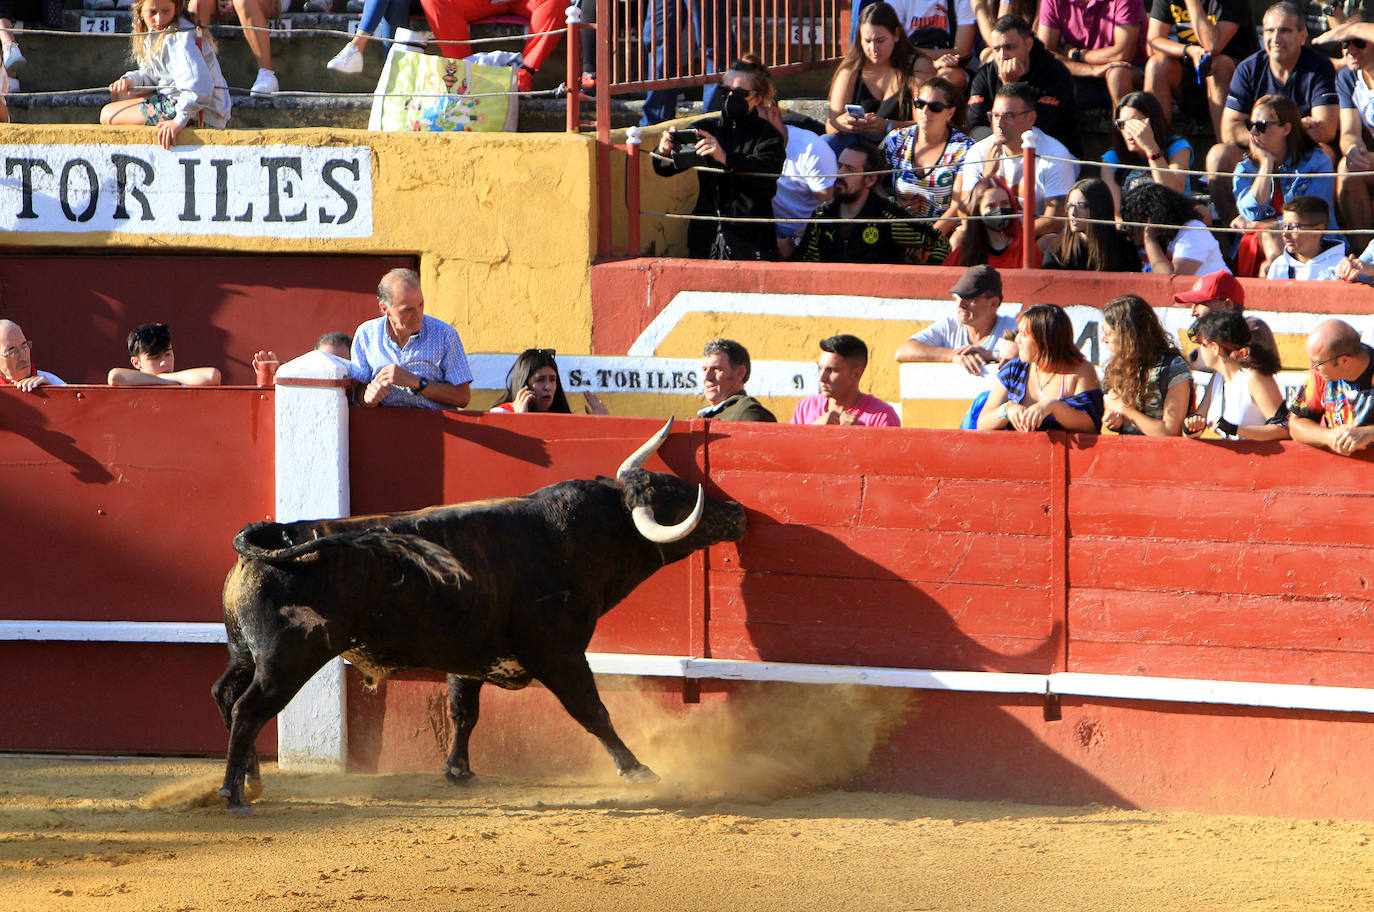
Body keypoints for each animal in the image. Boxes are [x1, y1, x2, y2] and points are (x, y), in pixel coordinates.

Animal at [212, 420, 747, 813]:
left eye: (678, 484)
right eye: (676, 497)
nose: (738, 513)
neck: (579, 538)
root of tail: (272, 535)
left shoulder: (469, 655)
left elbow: (462, 711)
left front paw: (459, 772)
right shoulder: (560, 653)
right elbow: (591, 710)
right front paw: (638, 769)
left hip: (244, 650)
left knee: (226, 694)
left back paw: (251, 780)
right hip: (289, 658)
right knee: (250, 708)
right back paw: (234, 793)